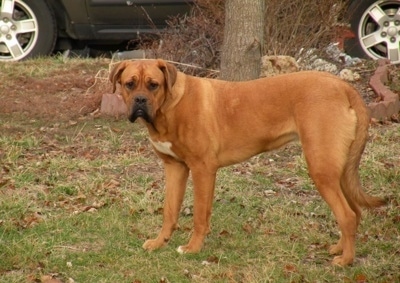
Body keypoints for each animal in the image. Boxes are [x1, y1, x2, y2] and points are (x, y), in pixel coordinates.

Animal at [109, 59, 384, 266]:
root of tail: (344, 86)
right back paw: (339, 248)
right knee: (354, 212)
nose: (140, 101)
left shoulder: (202, 170)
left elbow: (199, 215)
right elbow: (169, 211)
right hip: (338, 170)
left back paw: (346, 260)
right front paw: (159, 243)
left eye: (153, 85)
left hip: (321, 169)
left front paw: (193, 248)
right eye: (129, 84)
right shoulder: (174, 168)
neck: (169, 107)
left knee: (347, 215)